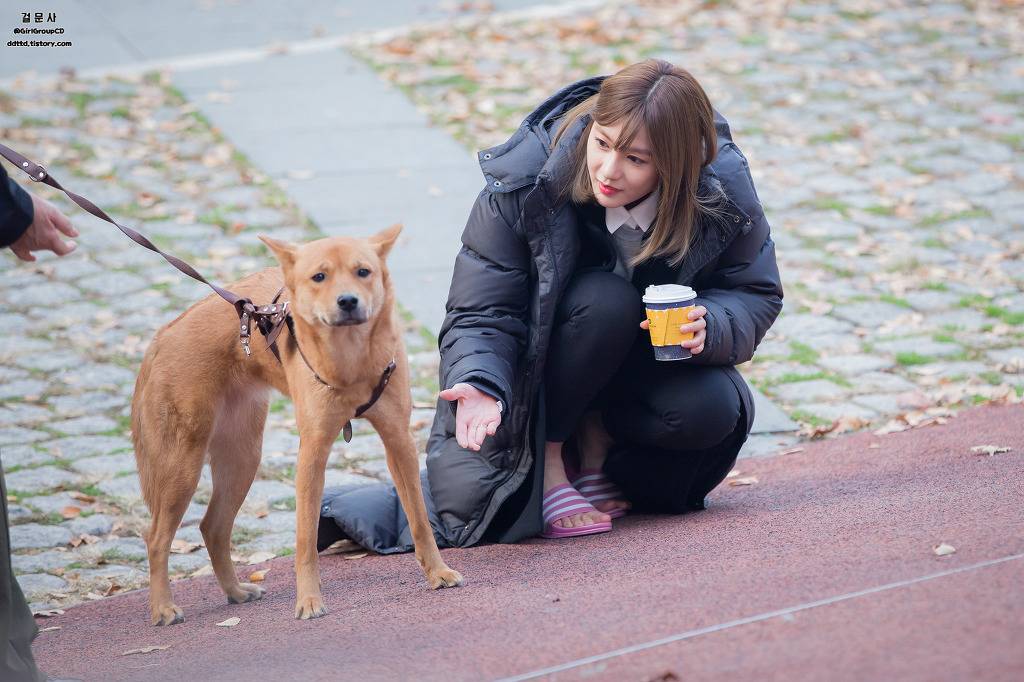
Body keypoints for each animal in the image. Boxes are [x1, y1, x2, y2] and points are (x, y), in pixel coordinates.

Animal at [130, 223, 462, 622]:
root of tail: (162, 336)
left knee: (213, 527)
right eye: (319, 277)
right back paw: (163, 607)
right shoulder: (312, 454)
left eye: (363, 271)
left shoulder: (399, 442)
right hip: (182, 466)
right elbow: (305, 540)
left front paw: (438, 572)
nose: (348, 301)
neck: (349, 359)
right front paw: (309, 600)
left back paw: (235, 591)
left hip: (242, 458)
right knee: (157, 538)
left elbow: (419, 520)